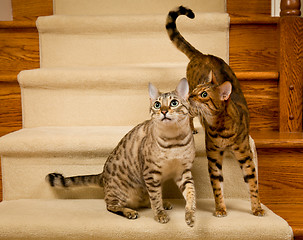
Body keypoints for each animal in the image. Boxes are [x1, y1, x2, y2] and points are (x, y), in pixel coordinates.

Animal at [45, 79, 197, 227]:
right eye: (157, 105)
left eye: (174, 103)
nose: (164, 111)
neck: (174, 141)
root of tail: (102, 175)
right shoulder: (150, 174)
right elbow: (155, 199)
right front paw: (160, 215)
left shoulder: (183, 172)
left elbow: (190, 194)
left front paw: (190, 216)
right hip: (122, 192)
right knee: (111, 206)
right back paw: (130, 212)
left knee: (145, 200)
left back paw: (164, 203)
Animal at [166, 5, 266, 217]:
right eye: (197, 90)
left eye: (204, 94)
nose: (190, 96)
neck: (221, 127)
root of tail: (202, 55)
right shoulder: (213, 156)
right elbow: (217, 186)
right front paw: (220, 208)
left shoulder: (246, 155)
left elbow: (253, 183)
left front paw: (257, 208)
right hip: (192, 111)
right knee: (188, 117)